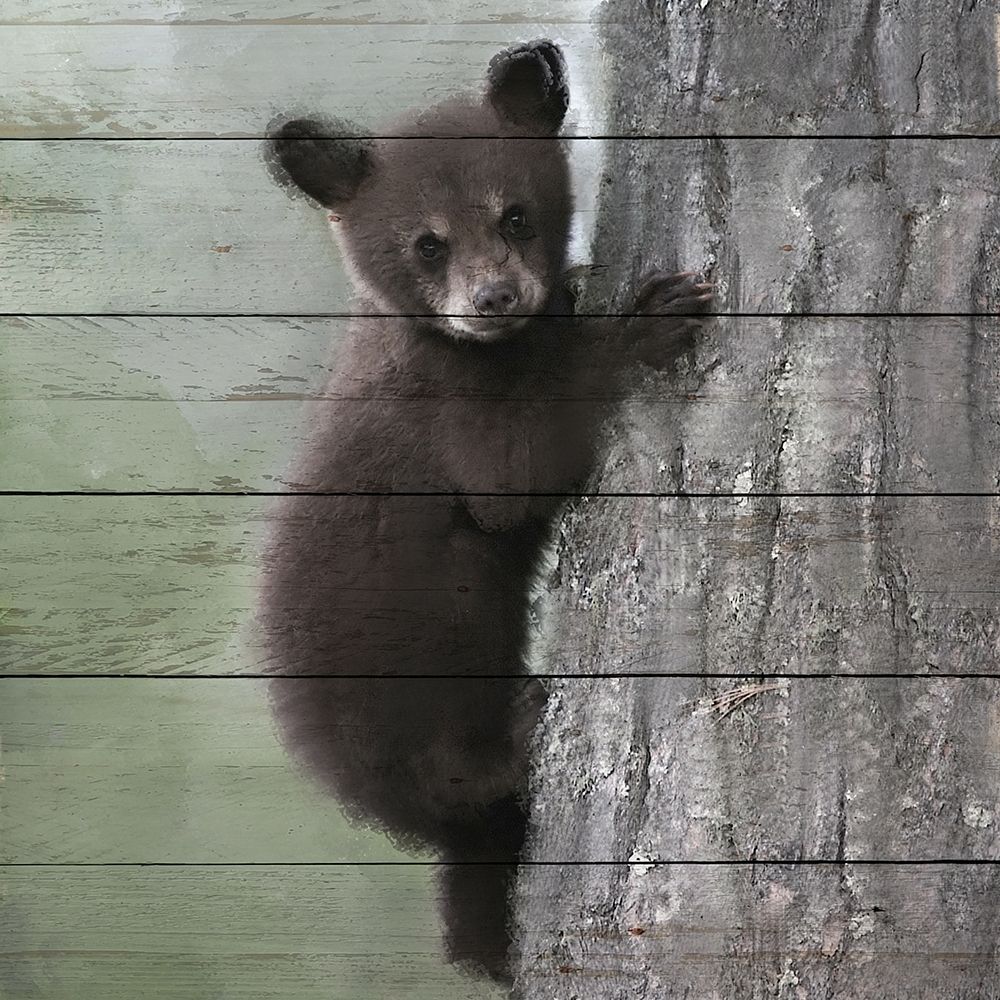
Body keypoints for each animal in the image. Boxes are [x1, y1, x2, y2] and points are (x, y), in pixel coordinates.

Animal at [258, 39, 711, 987]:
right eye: (427, 243)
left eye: (515, 217)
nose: (495, 298)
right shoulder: (448, 412)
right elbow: (513, 478)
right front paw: (644, 321)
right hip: (415, 700)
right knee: (466, 776)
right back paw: (526, 726)